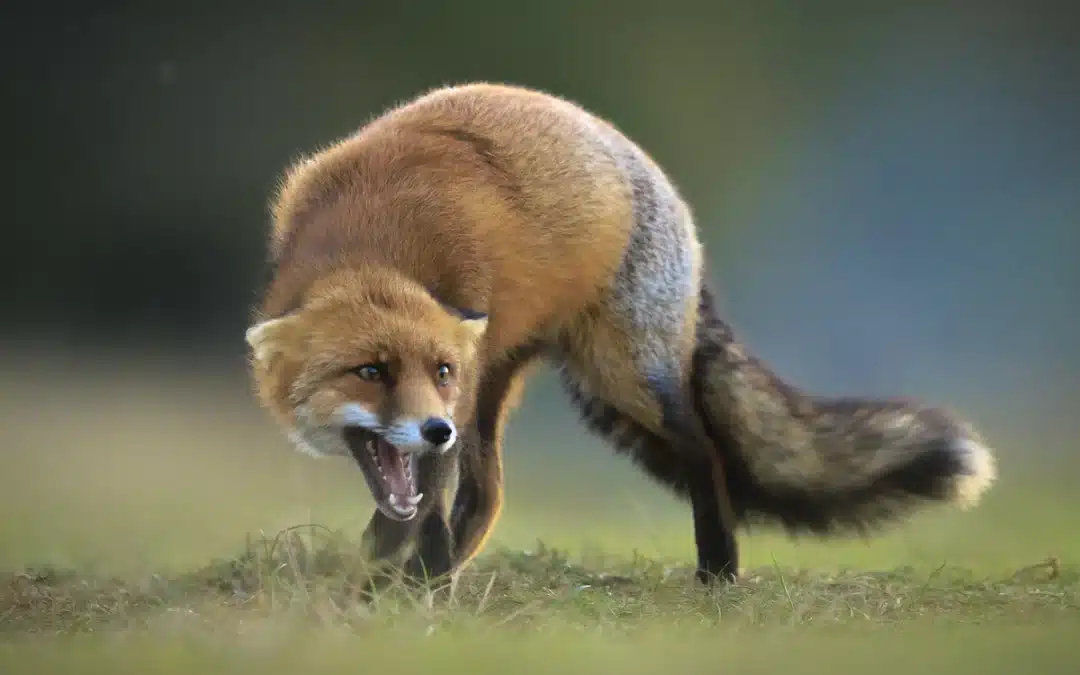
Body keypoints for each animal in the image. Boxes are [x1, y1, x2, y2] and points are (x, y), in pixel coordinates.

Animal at [245, 82, 997, 586]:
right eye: (370, 371)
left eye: (438, 370)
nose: (434, 429)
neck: (373, 242)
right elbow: (410, 509)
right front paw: (387, 582)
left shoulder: (451, 404)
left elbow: (421, 505)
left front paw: (406, 592)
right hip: (505, 391)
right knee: (486, 496)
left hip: (621, 377)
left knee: (705, 450)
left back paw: (719, 571)